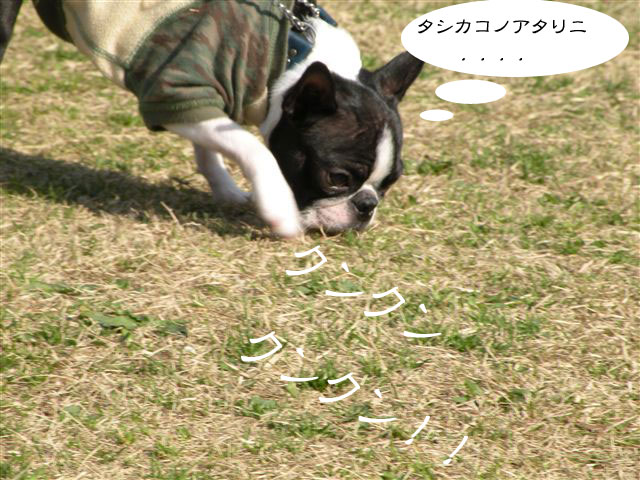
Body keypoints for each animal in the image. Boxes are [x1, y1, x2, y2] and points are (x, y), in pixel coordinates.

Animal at [0, 0, 423, 237]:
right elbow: (252, 146)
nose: (366, 205)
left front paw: (225, 189)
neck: (289, 53)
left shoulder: (204, 100)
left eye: (389, 184)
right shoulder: (173, 92)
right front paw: (278, 209)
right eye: (337, 178)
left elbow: (210, 147)